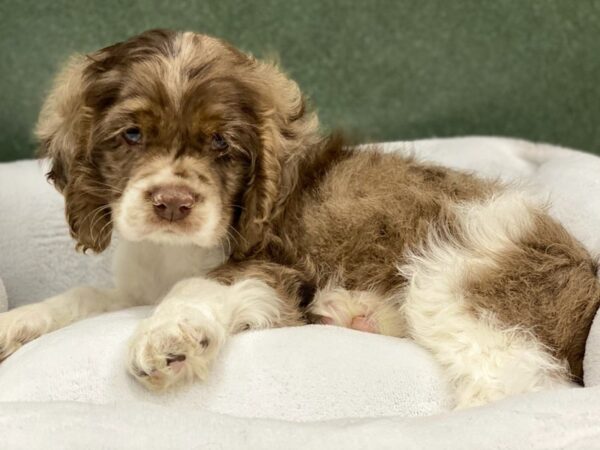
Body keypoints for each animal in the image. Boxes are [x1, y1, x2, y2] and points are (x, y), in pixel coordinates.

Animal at [1, 28, 600, 408]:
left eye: (220, 144)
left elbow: (200, 284)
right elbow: (83, 296)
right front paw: (18, 322)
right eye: (132, 135)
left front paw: (168, 335)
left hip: (456, 276)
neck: (172, 252)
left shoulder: (276, 269)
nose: (172, 202)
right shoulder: (133, 287)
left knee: (520, 383)